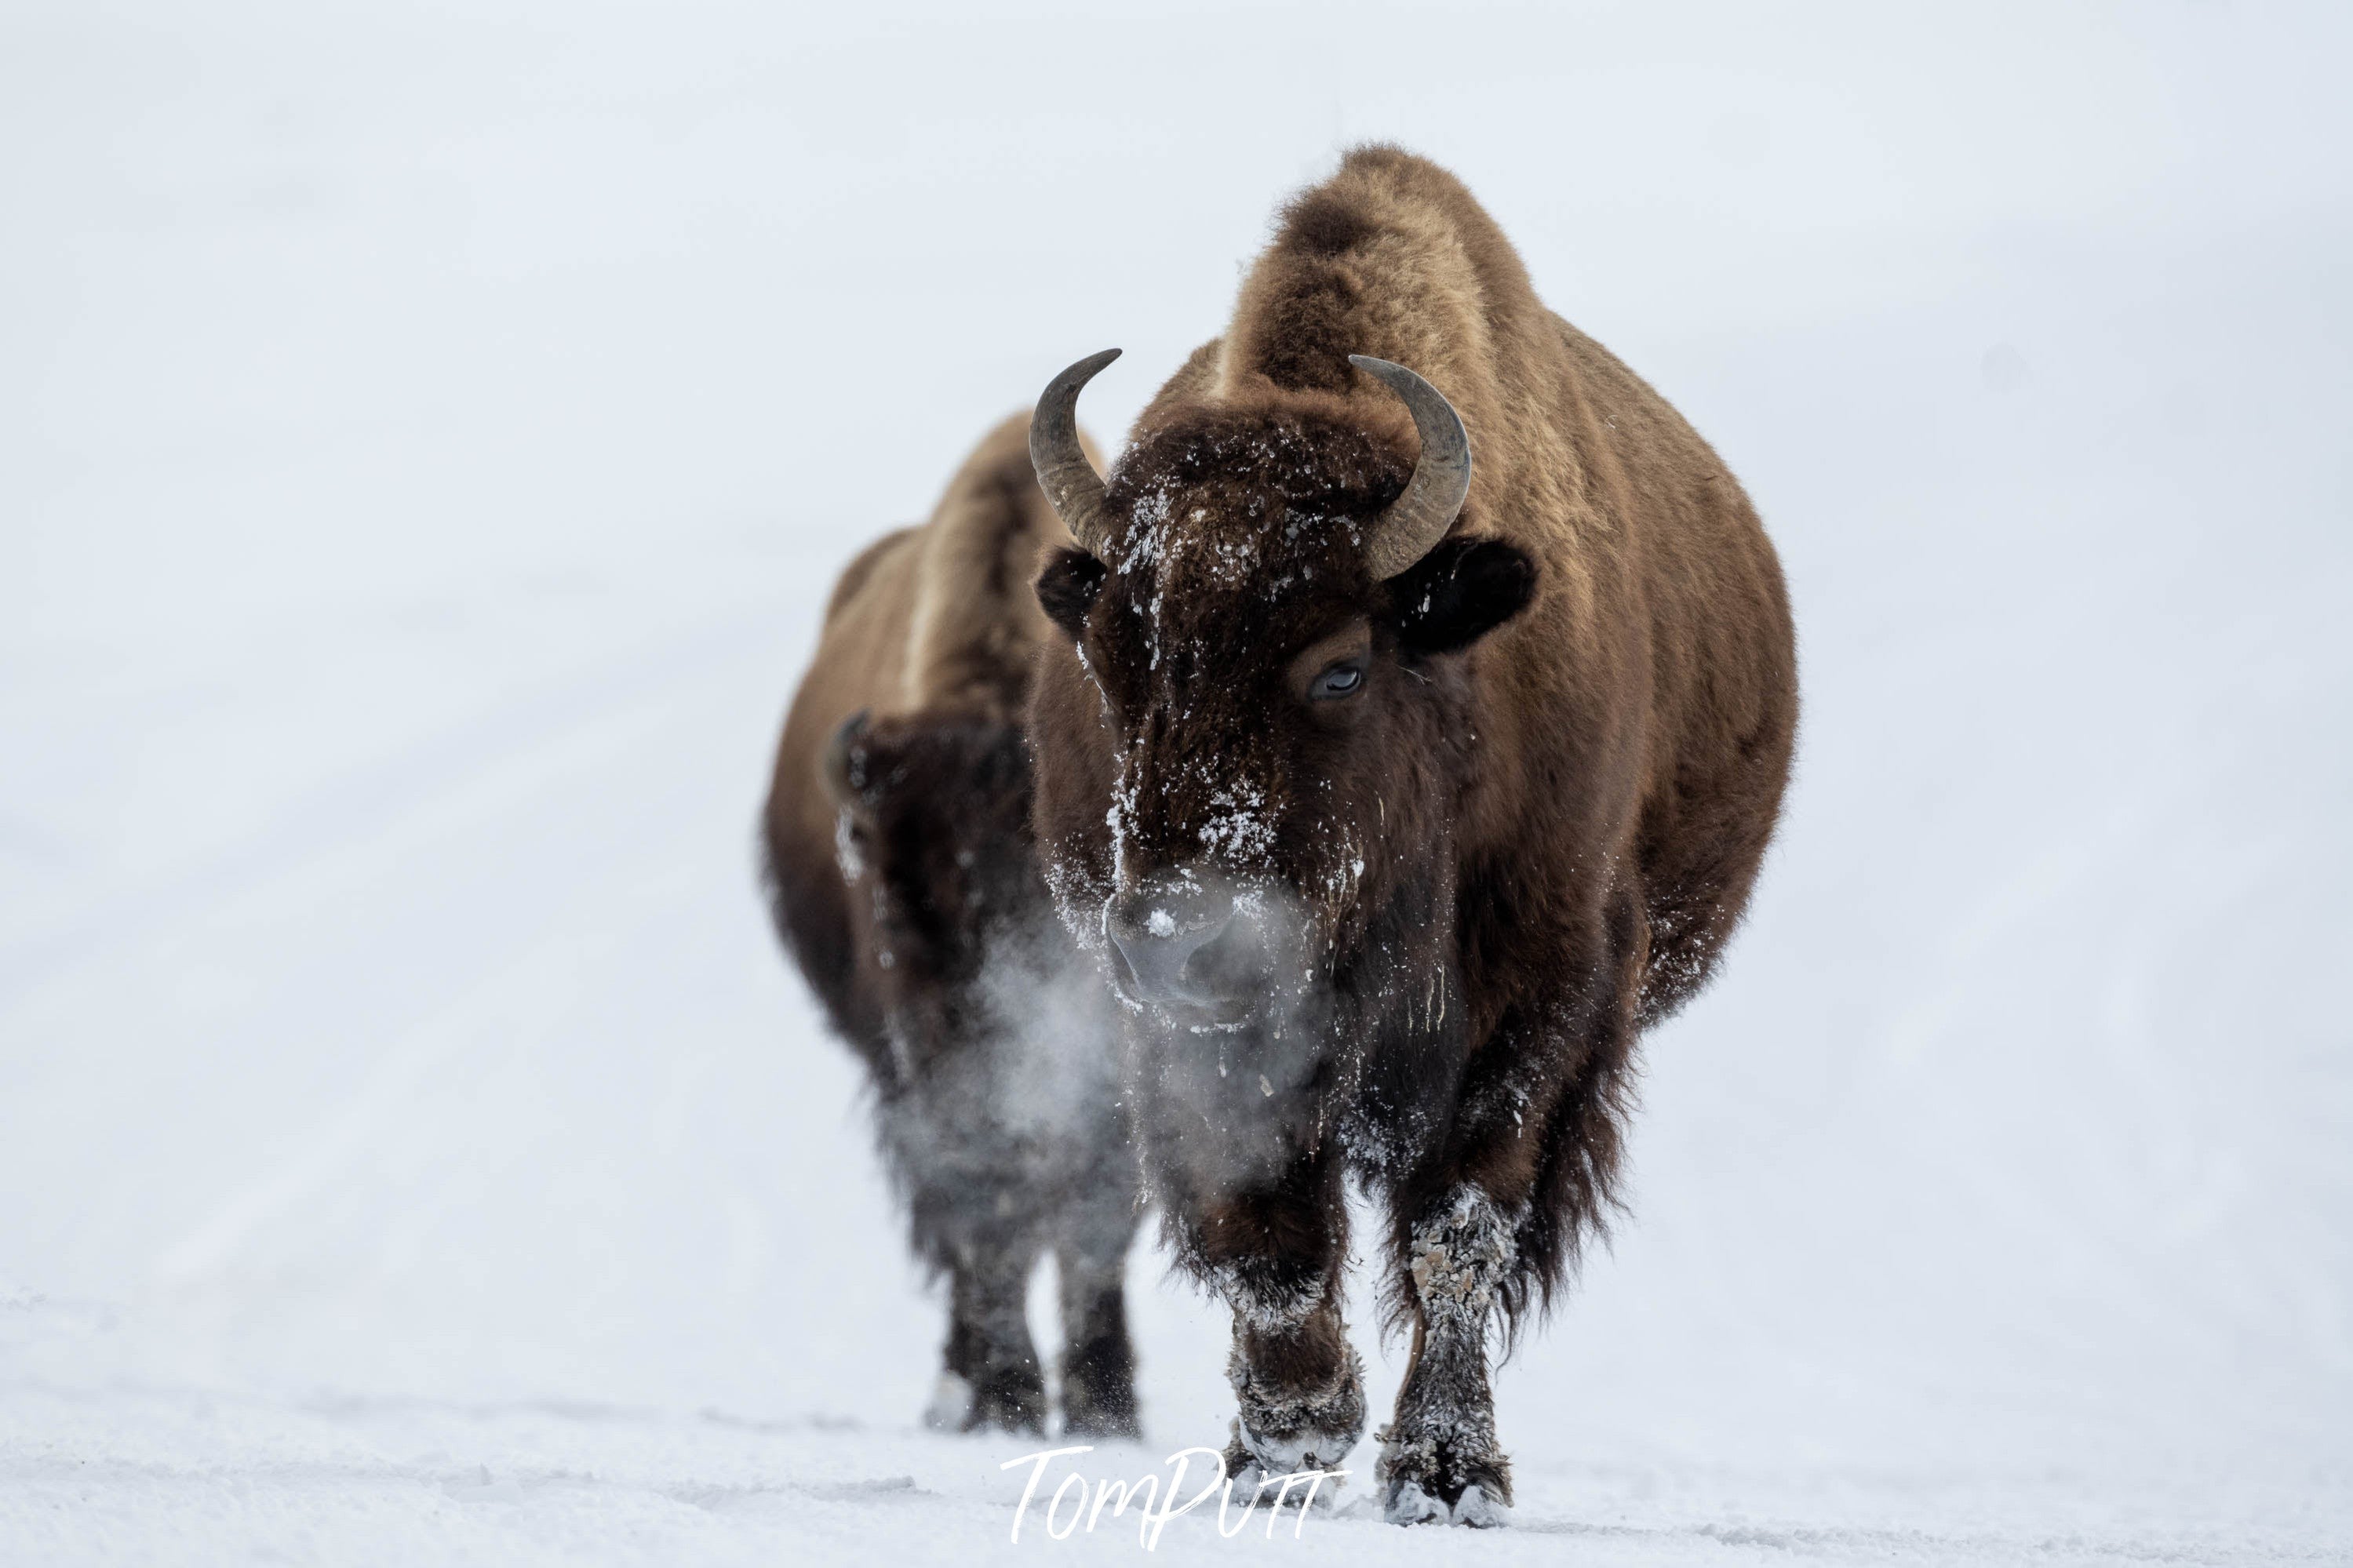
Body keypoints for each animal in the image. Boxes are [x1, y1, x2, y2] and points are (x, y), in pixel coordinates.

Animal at [762, 413, 1138, 1439]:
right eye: (897, 891)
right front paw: (1006, 1396)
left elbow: (1097, 1208)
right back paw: (965, 1387)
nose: (994, 1006)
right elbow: (984, 1201)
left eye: (1068, 873)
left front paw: (1105, 1408)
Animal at [1021, 147, 1788, 1523]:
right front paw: (1290, 1428)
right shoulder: (1189, 1028)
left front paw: (1444, 1468)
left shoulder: (1543, 995)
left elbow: (1458, 1224)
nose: (1171, 935)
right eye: (1112, 658)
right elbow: (1260, 1215)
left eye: (1339, 666)